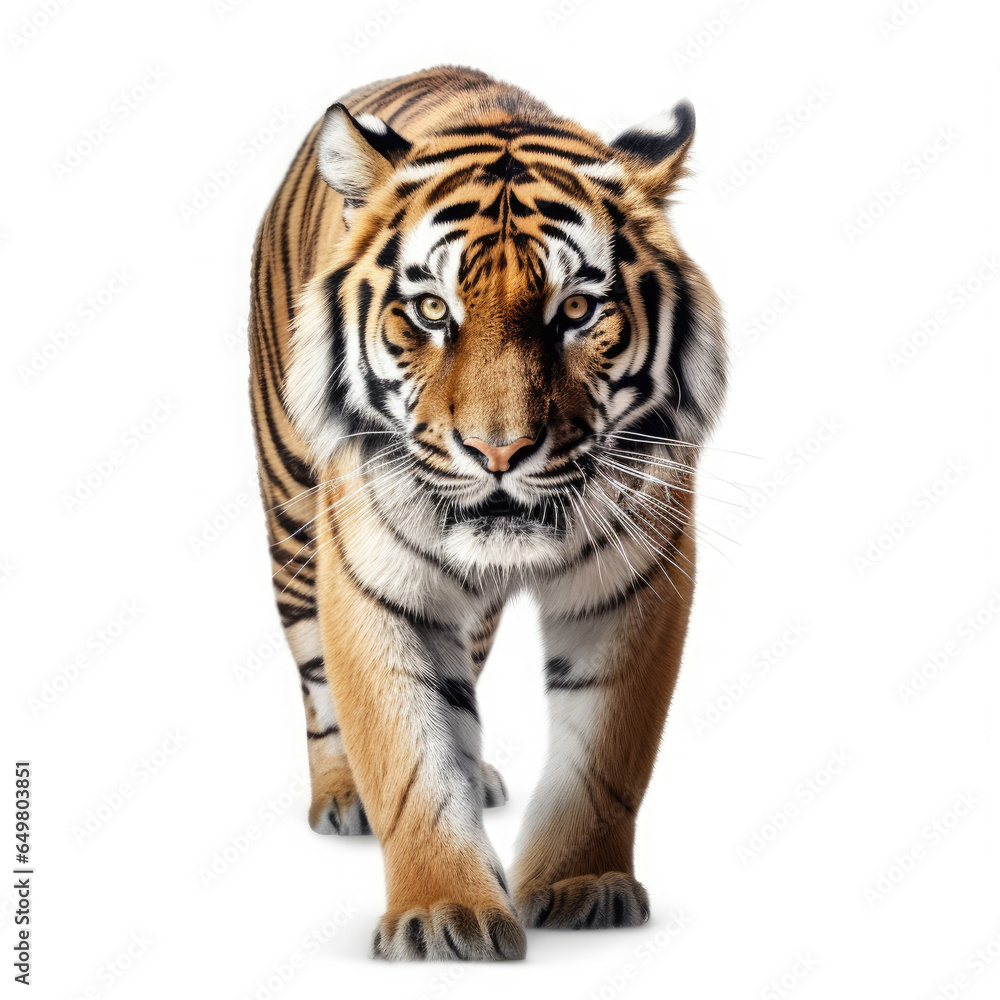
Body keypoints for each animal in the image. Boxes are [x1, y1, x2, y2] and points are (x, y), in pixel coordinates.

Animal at [248, 65, 726, 961]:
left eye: (575, 312)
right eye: (433, 312)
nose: (498, 453)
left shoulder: (637, 581)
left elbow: (606, 750)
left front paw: (582, 886)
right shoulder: (372, 583)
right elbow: (408, 755)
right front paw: (444, 913)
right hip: (292, 514)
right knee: (316, 677)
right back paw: (343, 796)